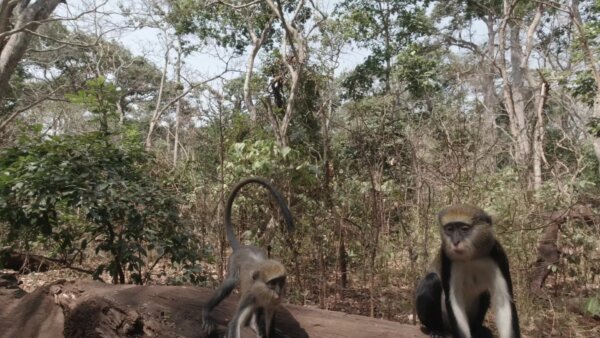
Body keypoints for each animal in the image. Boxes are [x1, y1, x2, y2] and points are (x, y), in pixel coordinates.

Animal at [202, 178, 296, 336]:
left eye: (281, 282)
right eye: (272, 283)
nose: (278, 291)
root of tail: (242, 247)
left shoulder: (273, 303)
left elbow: (269, 320)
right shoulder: (251, 296)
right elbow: (234, 324)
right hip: (233, 263)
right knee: (230, 282)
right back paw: (207, 313)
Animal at [414, 203, 516, 338]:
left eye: (464, 229)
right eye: (450, 229)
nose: (455, 242)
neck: (470, 258)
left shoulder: (497, 254)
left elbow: (504, 300)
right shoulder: (447, 259)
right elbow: (454, 300)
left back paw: (477, 330)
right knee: (431, 280)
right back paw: (437, 330)